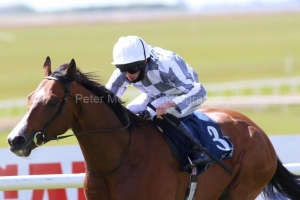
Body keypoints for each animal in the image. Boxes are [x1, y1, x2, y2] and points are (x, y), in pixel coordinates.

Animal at [7, 57, 300, 199]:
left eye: (52, 101)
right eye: (30, 97)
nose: (15, 139)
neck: (118, 160)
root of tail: (259, 131)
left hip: (244, 188)